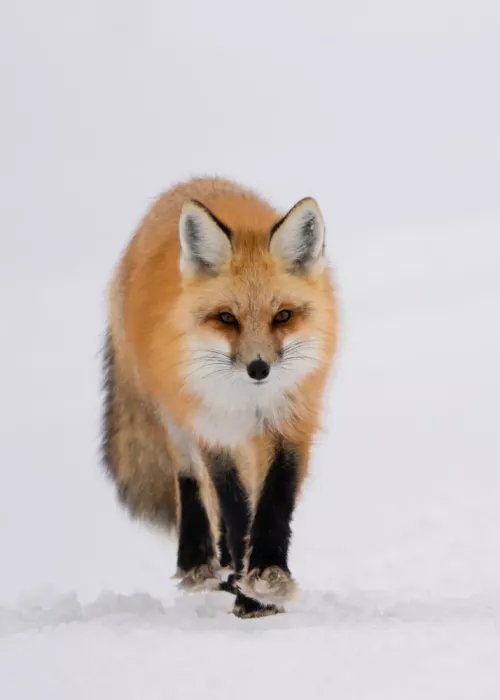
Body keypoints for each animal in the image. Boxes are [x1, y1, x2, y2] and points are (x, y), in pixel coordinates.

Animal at [102, 177, 337, 618]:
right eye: (227, 318)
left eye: (283, 316)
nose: (259, 369)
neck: (248, 401)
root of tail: (186, 185)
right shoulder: (213, 426)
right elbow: (232, 501)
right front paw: (251, 592)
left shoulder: (289, 420)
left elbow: (274, 498)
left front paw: (265, 579)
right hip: (175, 414)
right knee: (189, 479)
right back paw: (200, 563)